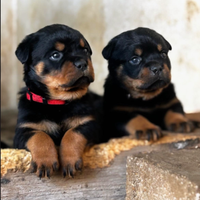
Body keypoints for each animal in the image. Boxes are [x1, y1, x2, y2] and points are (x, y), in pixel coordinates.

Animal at [13, 24, 98, 179]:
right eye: (55, 55)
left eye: (85, 50)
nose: (83, 63)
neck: (57, 102)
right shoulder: (23, 131)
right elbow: (39, 135)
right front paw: (46, 161)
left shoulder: (89, 124)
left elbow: (73, 133)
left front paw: (69, 160)